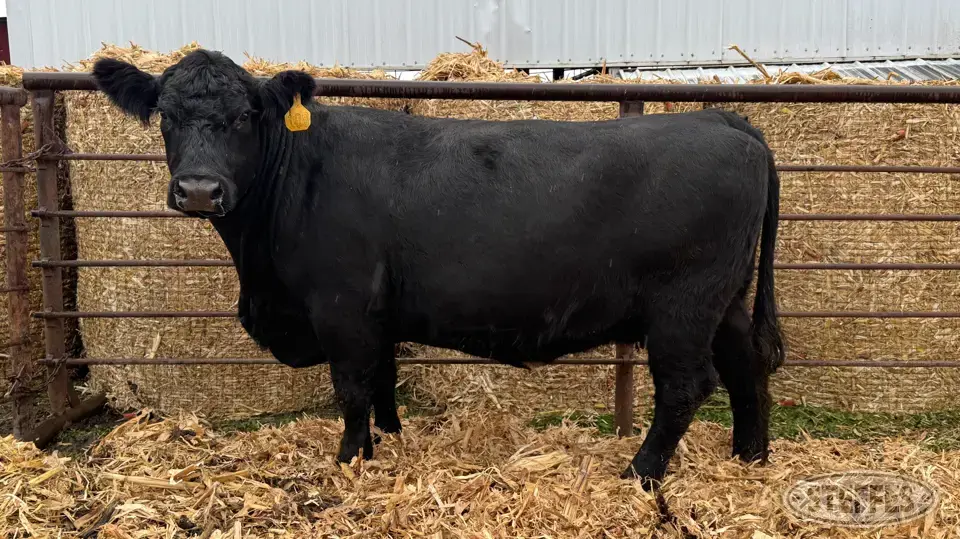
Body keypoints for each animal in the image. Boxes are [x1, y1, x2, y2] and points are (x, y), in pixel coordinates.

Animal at [91, 49, 785, 488]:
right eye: (167, 116)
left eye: (244, 116)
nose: (199, 190)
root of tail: (722, 118)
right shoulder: (376, 314)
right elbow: (382, 382)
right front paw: (391, 443)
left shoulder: (340, 307)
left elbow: (351, 388)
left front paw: (349, 462)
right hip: (724, 299)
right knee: (746, 364)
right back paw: (750, 458)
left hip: (683, 307)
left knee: (686, 387)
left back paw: (640, 473)